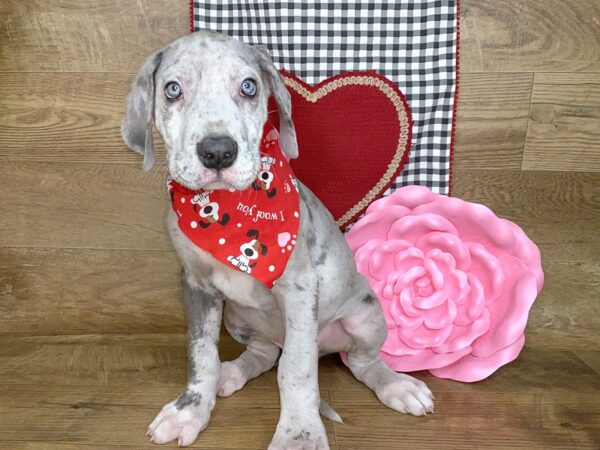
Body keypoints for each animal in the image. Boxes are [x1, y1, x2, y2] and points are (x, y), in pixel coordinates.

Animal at [122, 29, 434, 448]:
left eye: (249, 87)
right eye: (172, 89)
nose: (217, 151)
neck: (227, 216)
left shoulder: (299, 289)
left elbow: (296, 370)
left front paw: (299, 434)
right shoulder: (195, 286)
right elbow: (201, 353)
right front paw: (190, 410)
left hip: (366, 316)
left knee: (360, 362)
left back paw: (397, 386)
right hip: (238, 318)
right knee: (266, 352)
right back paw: (232, 372)